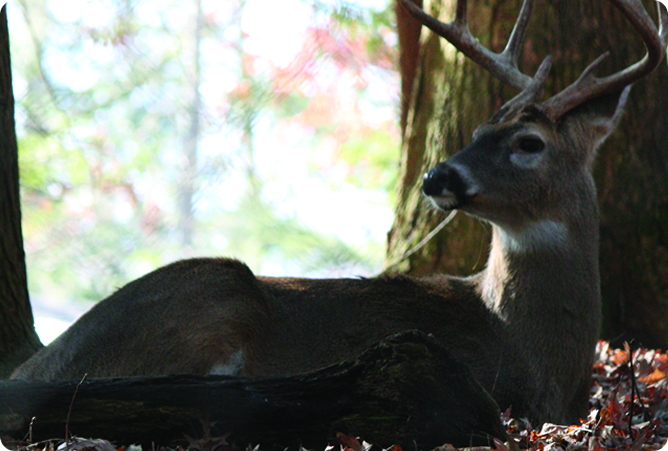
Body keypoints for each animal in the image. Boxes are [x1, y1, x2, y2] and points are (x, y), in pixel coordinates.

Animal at [10, 0, 667, 427]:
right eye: (480, 130)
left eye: (528, 142)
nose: (436, 176)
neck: (538, 352)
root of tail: (31, 365)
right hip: (217, 287)